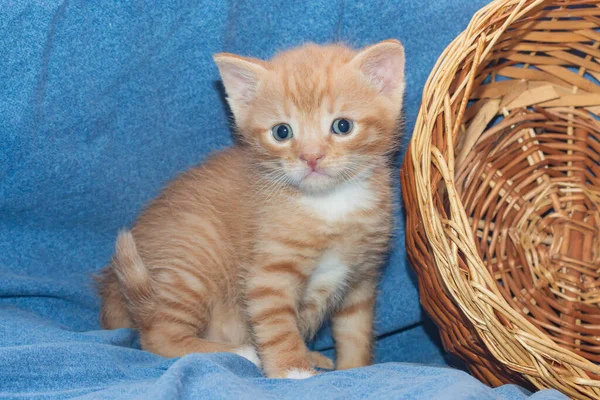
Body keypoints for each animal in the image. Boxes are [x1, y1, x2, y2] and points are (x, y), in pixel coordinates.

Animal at [96, 39, 406, 380]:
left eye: (342, 126)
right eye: (282, 132)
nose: (311, 157)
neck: (330, 204)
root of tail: (111, 290)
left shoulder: (361, 279)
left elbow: (355, 333)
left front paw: (354, 369)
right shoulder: (269, 275)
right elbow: (278, 326)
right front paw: (293, 371)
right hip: (192, 265)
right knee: (157, 337)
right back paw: (241, 352)